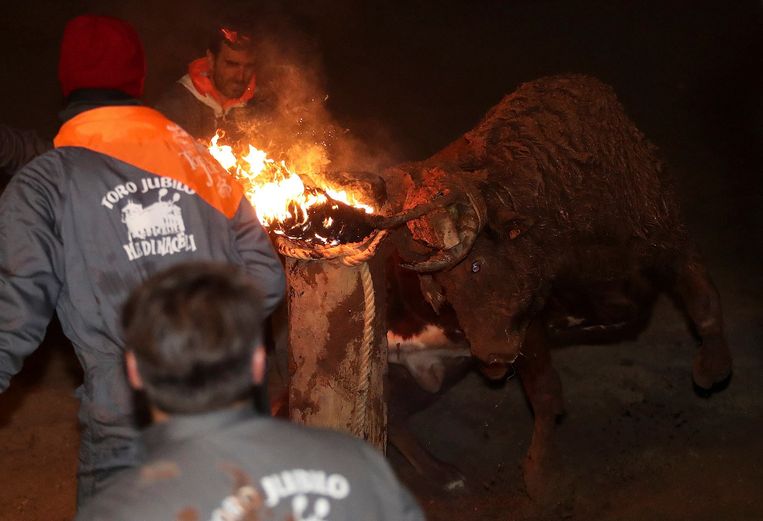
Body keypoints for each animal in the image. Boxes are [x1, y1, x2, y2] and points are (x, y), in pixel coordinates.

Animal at [382, 75, 736, 498]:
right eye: (440, 287)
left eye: (476, 265)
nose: (491, 357)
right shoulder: (530, 322)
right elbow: (547, 392)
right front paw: (543, 476)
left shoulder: (668, 239)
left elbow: (705, 302)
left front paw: (712, 371)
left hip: (433, 373)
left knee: (394, 415)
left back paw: (443, 474)